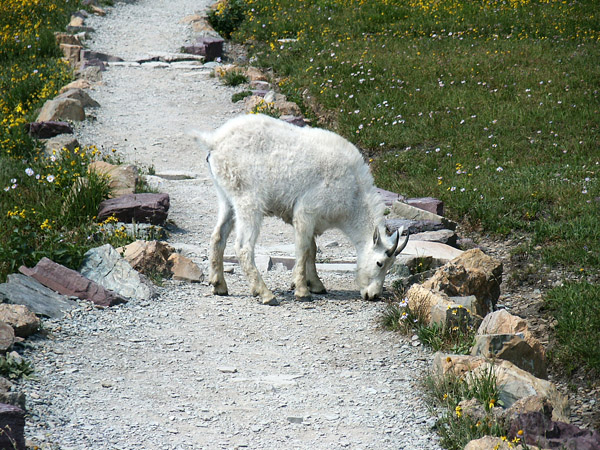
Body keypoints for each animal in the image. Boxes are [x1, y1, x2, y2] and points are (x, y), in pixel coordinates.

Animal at [195, 113, 410, 306]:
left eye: (390, 266)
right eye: (379, 263)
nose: (373, 295)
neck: (353, 195)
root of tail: (214, 141)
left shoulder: (309, 220)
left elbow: (312, 249)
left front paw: (315, 284)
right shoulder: (306, 211)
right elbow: (304, 249)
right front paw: (302, 291)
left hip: (226, 197)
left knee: (218, 236)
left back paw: (219, 285)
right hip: (248, 200)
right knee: (243, 246)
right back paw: (265, 294)